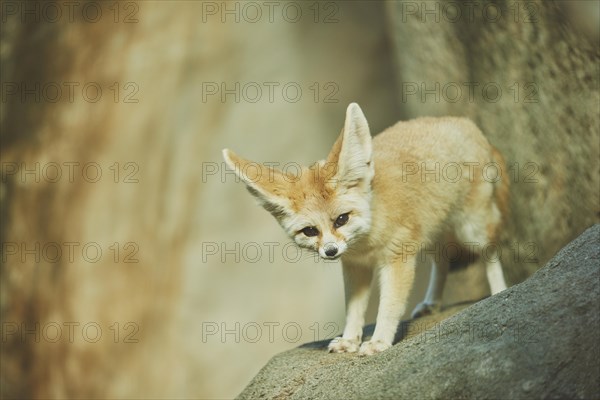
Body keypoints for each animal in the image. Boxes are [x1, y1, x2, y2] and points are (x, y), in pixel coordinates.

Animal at [223, 103, 508, 356]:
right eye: (310, 231)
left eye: (341, 219)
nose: (330, 251)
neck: (366, 243)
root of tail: (464, 122)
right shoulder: (354, 266)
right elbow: (354, 309)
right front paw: (350, 340)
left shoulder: (396, 260)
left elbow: (389, 306)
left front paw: (379, 341)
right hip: (433, 232)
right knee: (443, 261)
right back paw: (432, 303)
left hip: (472, 230)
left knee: (490, 253)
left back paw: (500, 292)